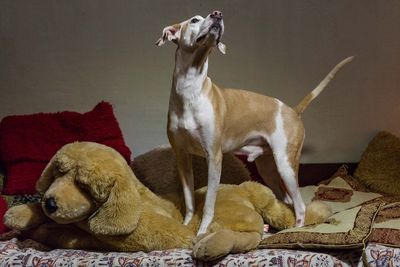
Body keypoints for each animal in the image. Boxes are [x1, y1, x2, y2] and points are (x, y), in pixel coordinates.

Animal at [156, 10, 354, 236]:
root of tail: (293, 110)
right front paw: (187, 226)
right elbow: (189, 202)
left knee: (300, 205)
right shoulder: (182, 157)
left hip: (285, 165)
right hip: (268, 169)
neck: (190, 90)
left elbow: (208, 204)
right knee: (287, 201)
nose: (217, 14)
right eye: (194, 20)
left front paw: (203, 232)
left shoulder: (213, 158)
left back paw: (293, 231)